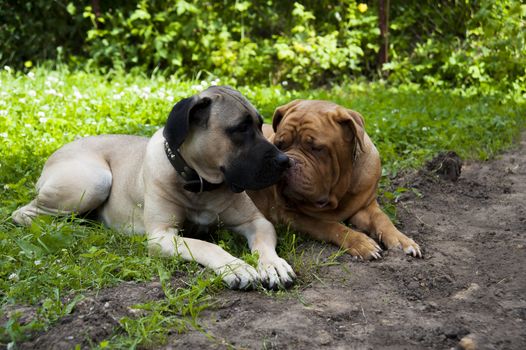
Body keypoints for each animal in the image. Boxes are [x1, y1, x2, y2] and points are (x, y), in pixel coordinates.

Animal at [249, 100, 424, 258]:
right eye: (279, 144)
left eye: (316, 148)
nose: (289, 162)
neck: (339, 194)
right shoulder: (290, 214)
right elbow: (328, 225)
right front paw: (360, 242)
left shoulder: (366, 206)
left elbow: (382, 218)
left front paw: (402, 240)